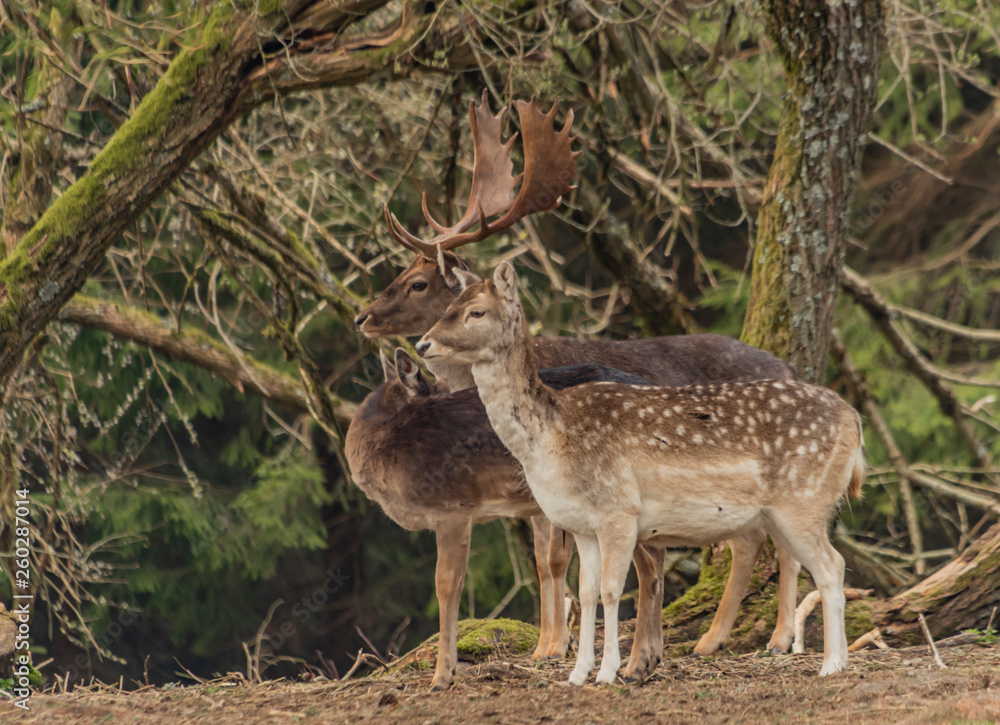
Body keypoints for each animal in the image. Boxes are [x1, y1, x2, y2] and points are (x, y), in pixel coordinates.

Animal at [345, 348, 650, 690]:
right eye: (441, 388)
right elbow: (544, 563)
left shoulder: (452, 507)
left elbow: (447, 585)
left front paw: (442, 675)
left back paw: (636, 664)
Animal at [417, 261, 867, 684]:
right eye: (448, 307)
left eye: (476, 311)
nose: (423, 343)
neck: (552, 439)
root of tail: (854, 421)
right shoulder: (582, 524)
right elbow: (587, 593)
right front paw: (577, 675)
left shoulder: (618, 510)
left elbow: (613, 590)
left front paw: (608, 673)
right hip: (782, 511)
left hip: (803, 500)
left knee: (831, 566)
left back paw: (830, 665)